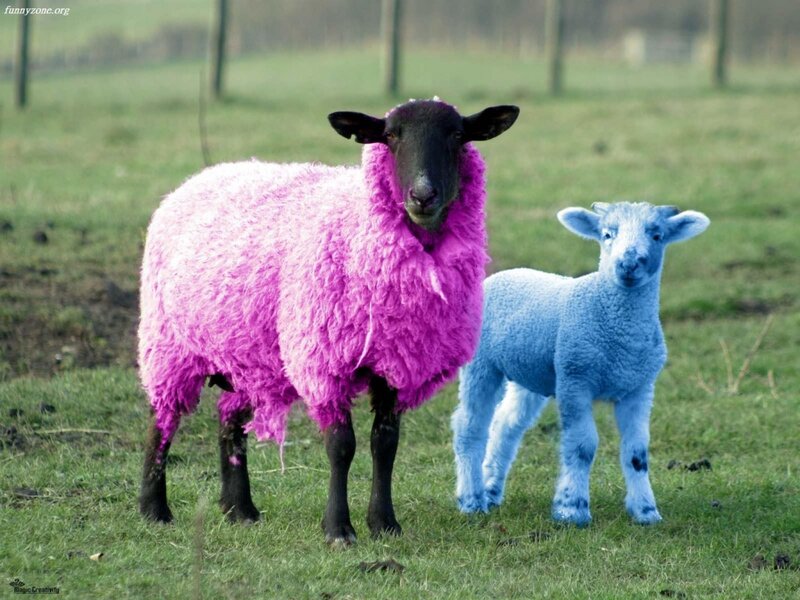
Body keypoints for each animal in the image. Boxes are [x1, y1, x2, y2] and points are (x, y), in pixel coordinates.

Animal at [138, 98, 520, 545]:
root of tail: (199, 177)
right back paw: (154, 509)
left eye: (458, 135)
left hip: (249, 352)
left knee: (228, 420)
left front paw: (384, 523)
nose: (423, 196)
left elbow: (385, 445)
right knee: (162, 421)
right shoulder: (326, 362)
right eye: (390, 136)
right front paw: (339, 528)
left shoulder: (397, 363)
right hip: (168, 343)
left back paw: (240, 510)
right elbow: (341, 446)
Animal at [452, 201, 709, 526]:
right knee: (470, 425)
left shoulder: (639, 387)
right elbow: (582, 446)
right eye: (607, 234)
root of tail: (500, 275)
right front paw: (571, 509)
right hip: (482, 364)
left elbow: (637, 452)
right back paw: (472, 500)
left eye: (657, 236)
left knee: (506, 424)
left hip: (533, 371)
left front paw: (646, 511)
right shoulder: (575, 379)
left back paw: (491, 489)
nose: (628, 264)